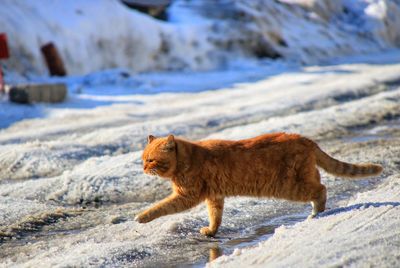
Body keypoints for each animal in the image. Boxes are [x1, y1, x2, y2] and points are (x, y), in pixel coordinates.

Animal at [136, 133, 382, 236]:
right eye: (143, 158)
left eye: (151, 160)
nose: (143, 168)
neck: (186, 160)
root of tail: (304, 138)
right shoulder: (214, 197)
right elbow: (216, 216)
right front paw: (212, 231)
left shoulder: (187, 196)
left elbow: (161, 207)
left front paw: (141, 217)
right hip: (303, 176)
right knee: (319, 182)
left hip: (289, 187)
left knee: (321, 189)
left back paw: (316, 214)